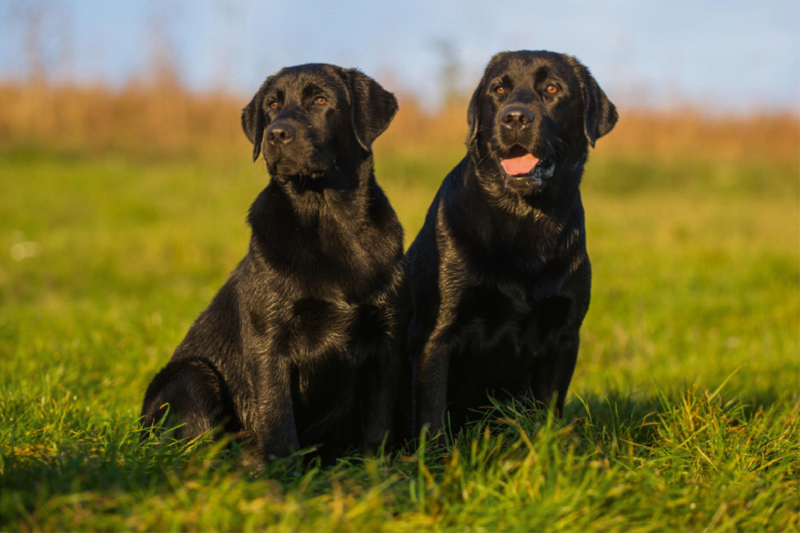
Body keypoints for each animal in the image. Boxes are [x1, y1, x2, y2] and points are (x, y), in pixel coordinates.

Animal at [400, 50, 620, 436]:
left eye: (552, 89)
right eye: (498, 90)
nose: (514, 117)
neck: (525, 217)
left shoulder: (564, 335)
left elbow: (549, 409)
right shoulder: (434, 334)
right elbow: (431, 414)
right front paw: (434, 454)